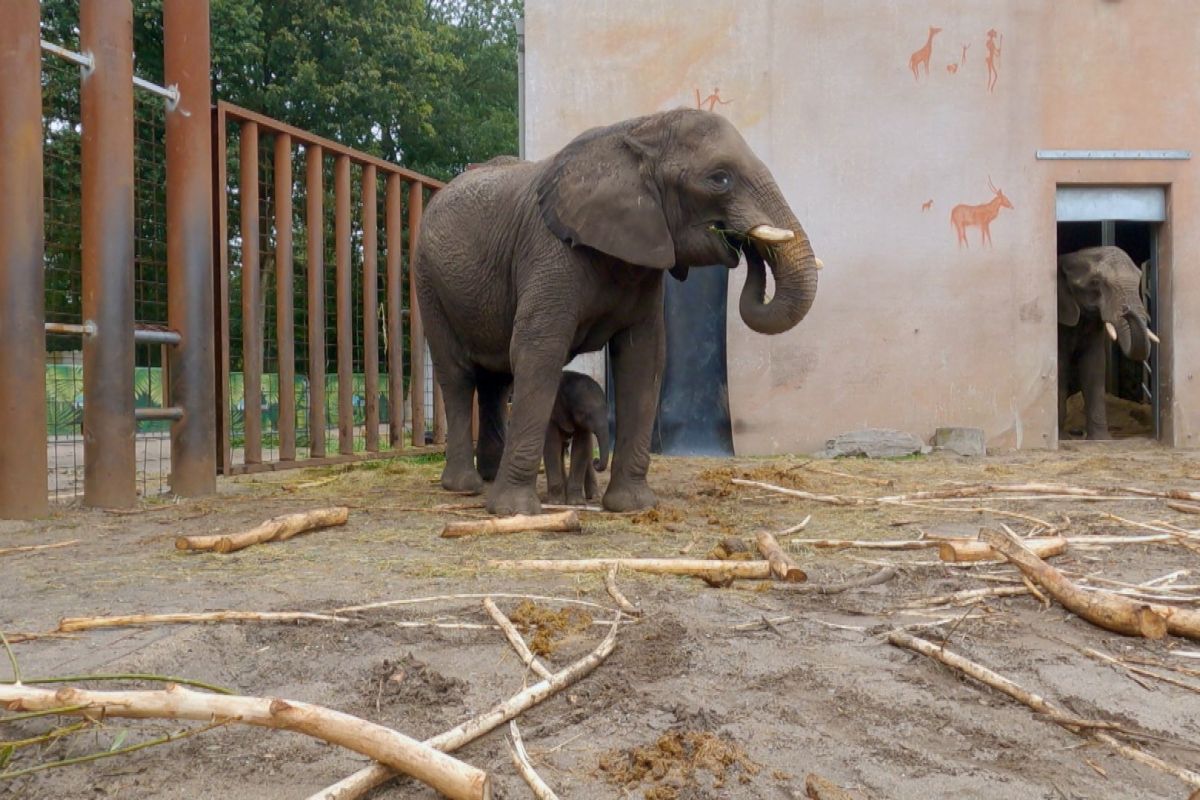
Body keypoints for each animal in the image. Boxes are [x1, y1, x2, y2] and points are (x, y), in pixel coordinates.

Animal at [549, 371, 614, 506]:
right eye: (584, 413)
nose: (596, 461)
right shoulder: (552, 414)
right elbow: (552, 446)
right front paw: (556, 502)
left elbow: (581, 448)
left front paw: (575, 503)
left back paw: (594, 496)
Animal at [1060, 247, 1161, 441]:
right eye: (1095, 282)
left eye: (1139, 277)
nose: (1126, 310)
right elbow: (1061, 367)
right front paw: (1061, 438)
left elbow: (1095, 365)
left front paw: (1101, 439)